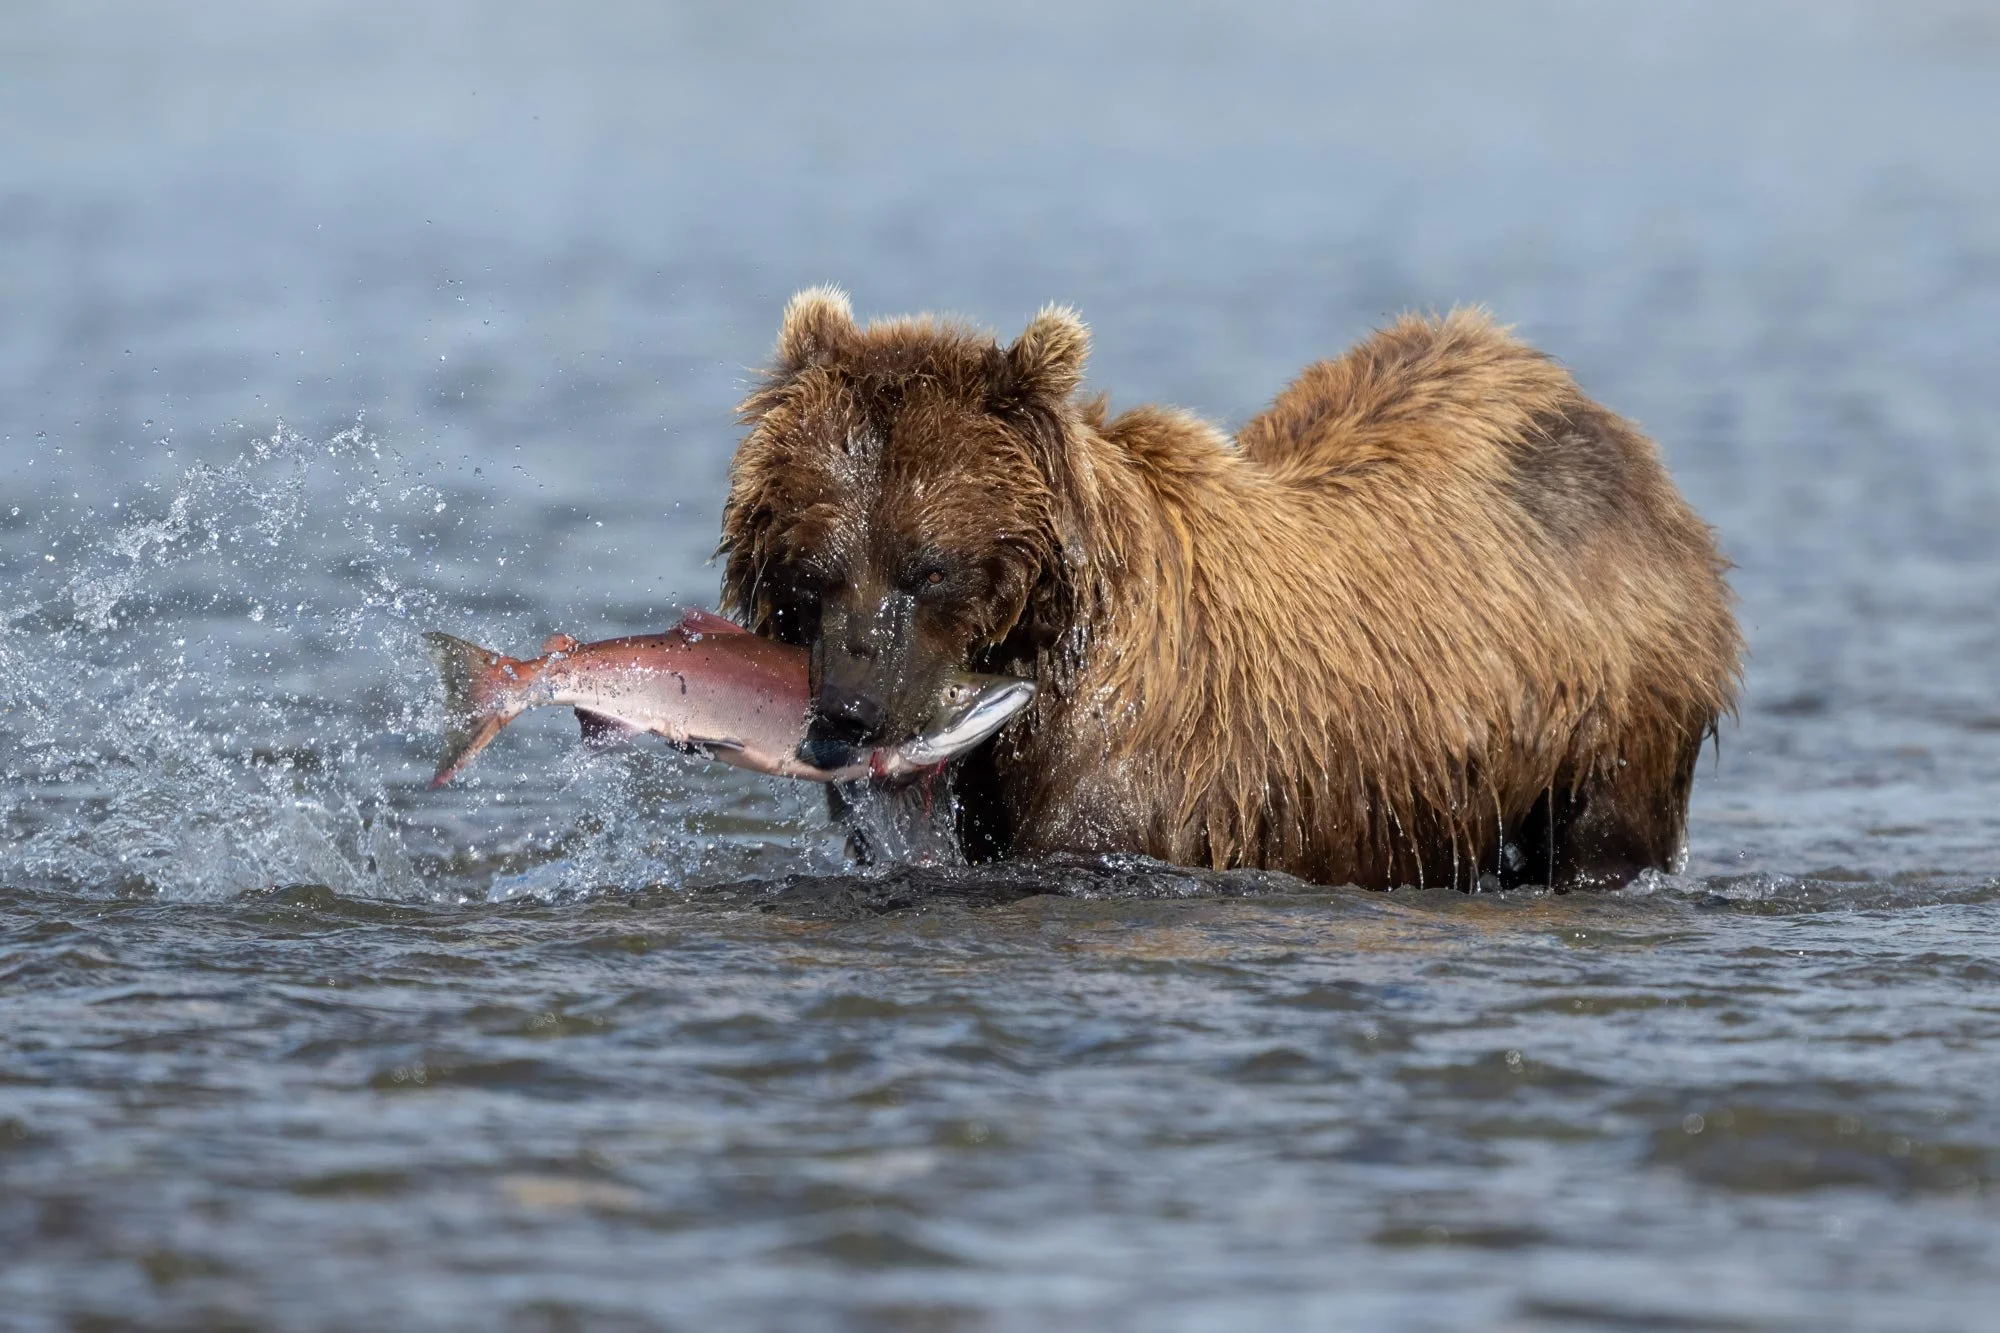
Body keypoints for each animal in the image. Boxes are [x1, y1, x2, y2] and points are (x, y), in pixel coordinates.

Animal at [718, 288, 1741, 890]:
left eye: (929, 566)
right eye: (813, 567)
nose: (850, 711)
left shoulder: (1136, 759)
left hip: (1612, 697)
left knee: (1605, 831)